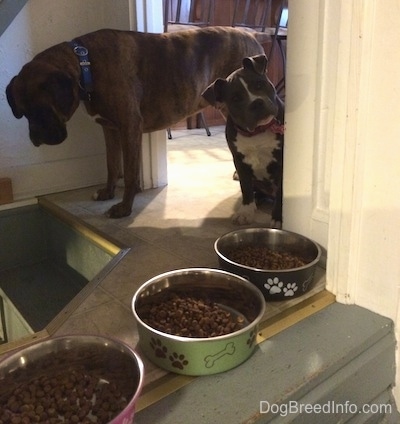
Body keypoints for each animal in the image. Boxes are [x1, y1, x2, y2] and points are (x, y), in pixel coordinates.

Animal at [6, 26, 264, 217]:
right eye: (22, 112)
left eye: (41, 109)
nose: (35, 137)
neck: (85, 64)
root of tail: (251, 35)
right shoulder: (109, 129)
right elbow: (112, 165)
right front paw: (108, 192)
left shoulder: (129, 127)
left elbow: (130, 172)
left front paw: (124, 208)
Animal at [203, 56, 284, 227]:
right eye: (235, 98)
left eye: (259, 84)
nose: (256, 103)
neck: (257, 132)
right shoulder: (240, 162)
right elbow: (245, 187)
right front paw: (245, 211)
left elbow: (281, 193)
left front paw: (278, 218)